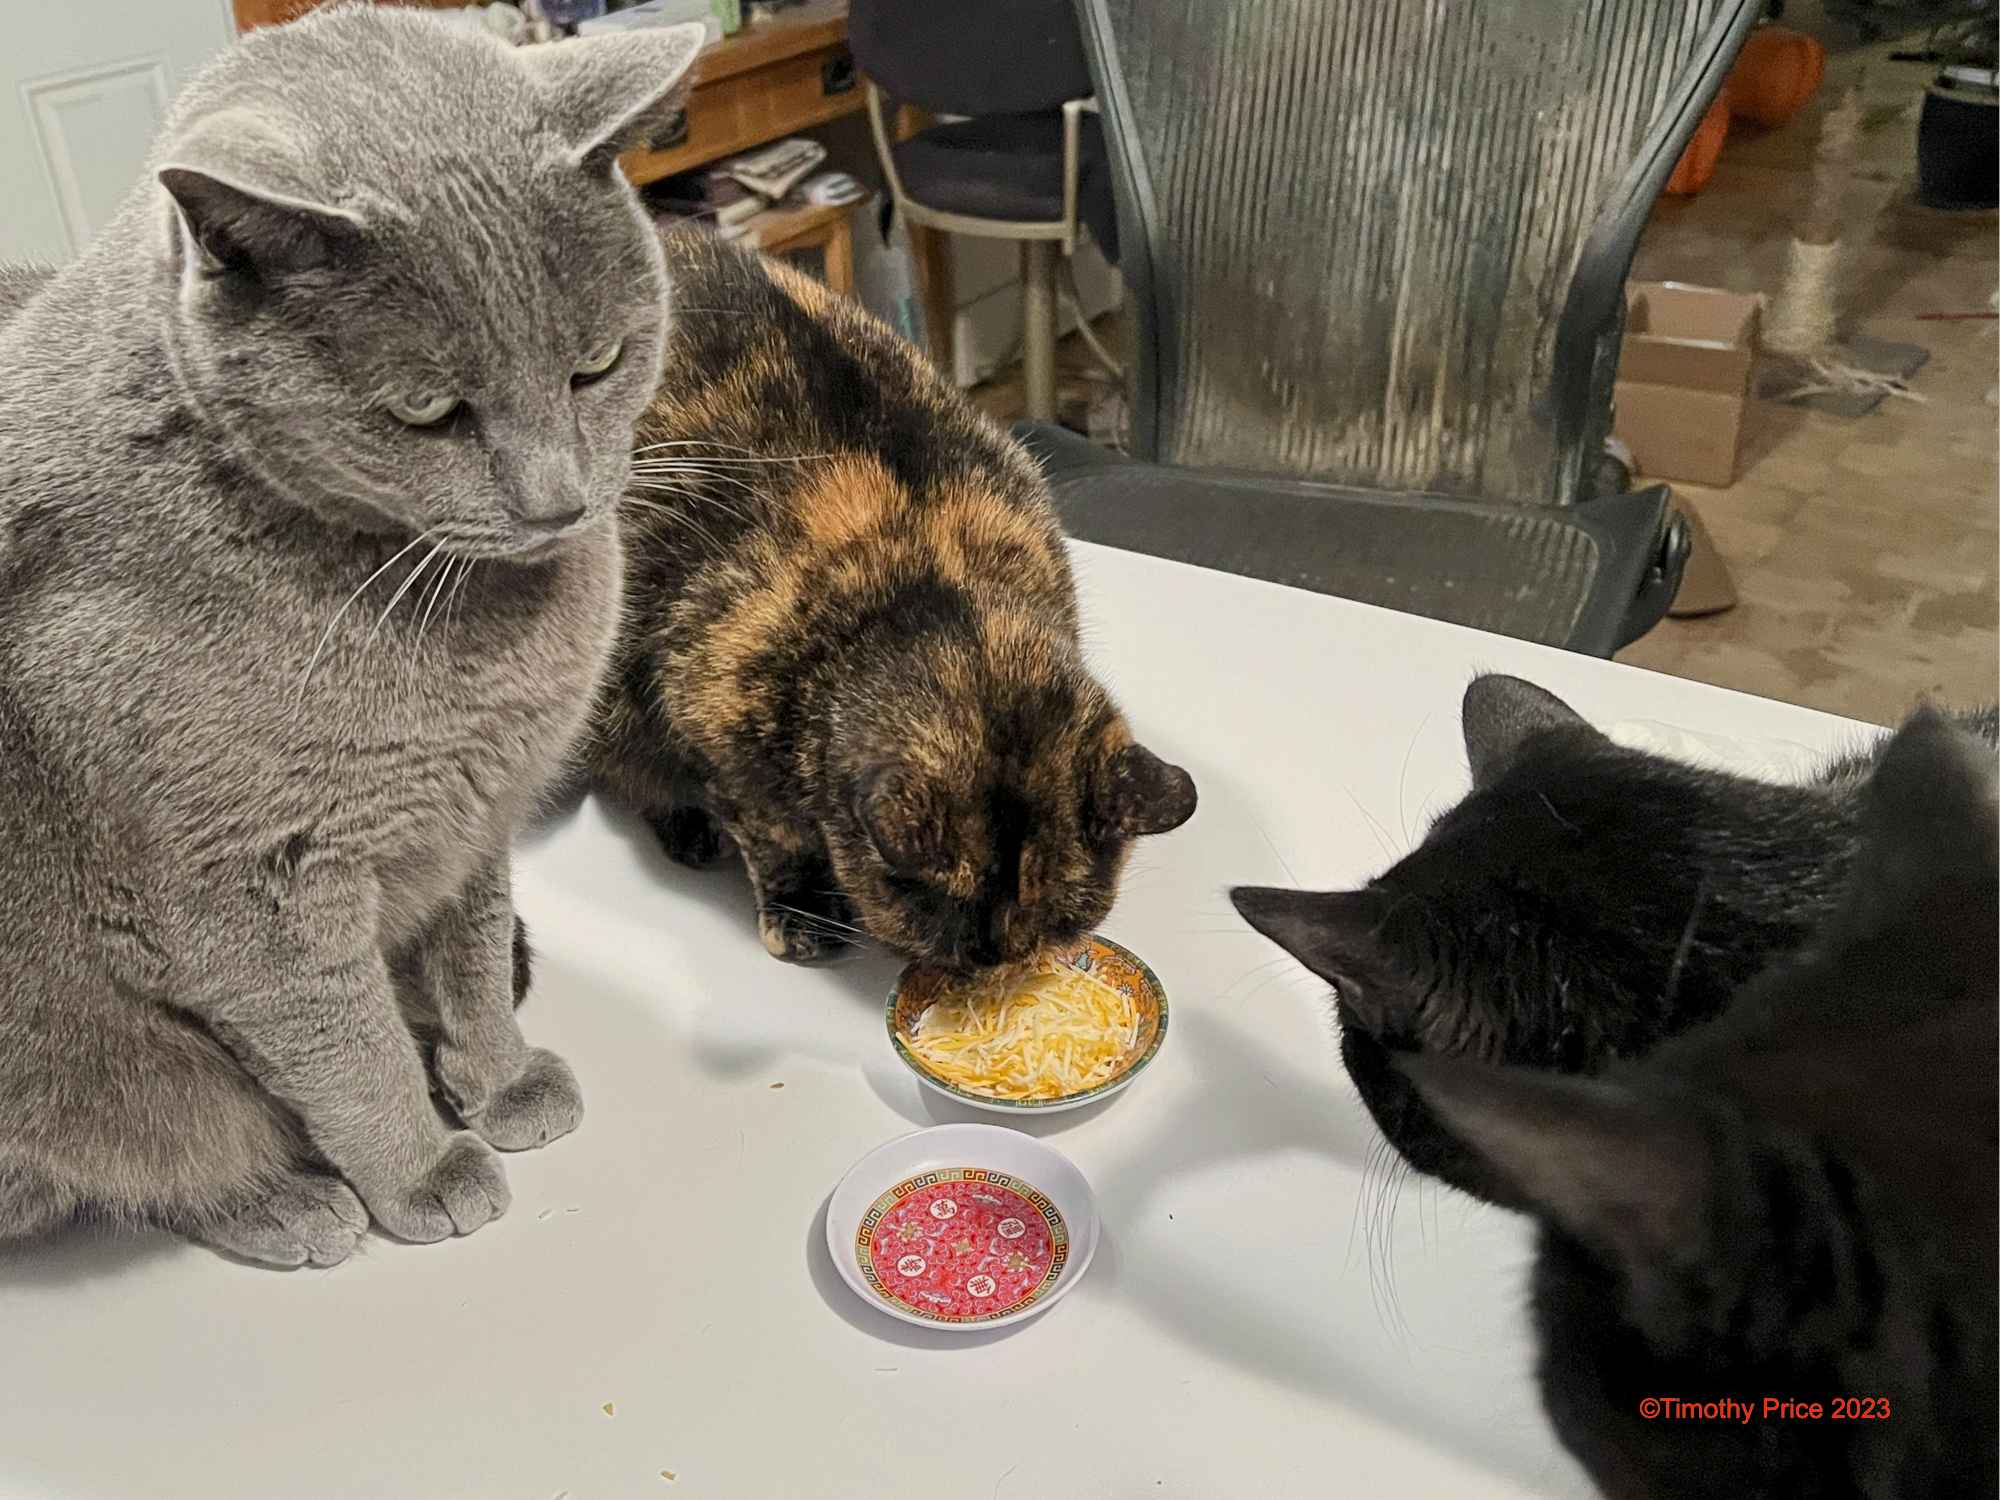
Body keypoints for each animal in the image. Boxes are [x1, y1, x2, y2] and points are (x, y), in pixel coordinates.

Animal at [0, 9, 704, 1267]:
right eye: (429, 412)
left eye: (598, 364)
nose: (557, 503)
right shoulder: (250, 890)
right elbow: (345, 1045)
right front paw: (422, 1169)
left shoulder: (476, 813)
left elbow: (470, 953)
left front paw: (497, 1080)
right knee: (127, 1158)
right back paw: (284, 1202)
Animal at [588, 227, 1196, 969]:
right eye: (932, 903)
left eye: (1059, 921)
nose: (992, 956)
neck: (933, 583)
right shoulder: (709, 705)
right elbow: (770, 830)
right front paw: (800, 911)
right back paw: (688, 833)